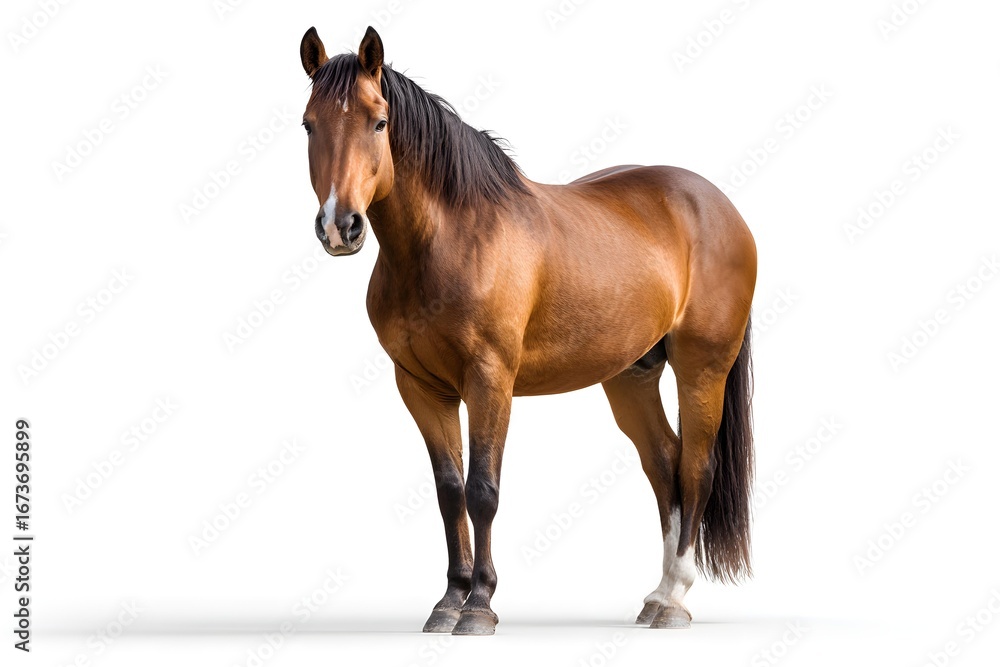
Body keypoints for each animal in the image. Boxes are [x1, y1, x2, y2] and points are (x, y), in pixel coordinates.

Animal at [299, 25, 757, 635]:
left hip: (702, 367)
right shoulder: (421, 388)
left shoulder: (489, 381)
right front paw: (449, 601)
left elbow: (482, 491)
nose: (339, 226)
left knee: (697, 468)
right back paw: (656, 596)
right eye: (309, 123)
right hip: (631, 375)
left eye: (379, 121)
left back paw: (676, 601)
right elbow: (450, 492)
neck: (449, 239)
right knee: (664, 464)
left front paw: (480, 606)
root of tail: (719, 205)